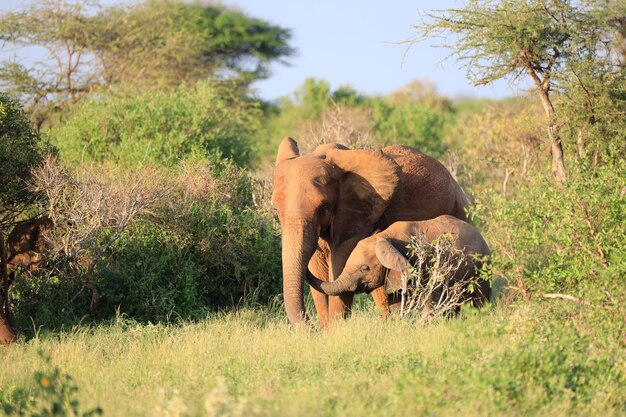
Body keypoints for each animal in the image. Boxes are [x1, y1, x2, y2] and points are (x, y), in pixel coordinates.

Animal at [270, 138, 466, 326]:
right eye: (277, 210)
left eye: (324, 208)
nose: (311, 327)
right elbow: (316, 268)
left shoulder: (356, 215)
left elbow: (340, 265)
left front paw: (336, 331)